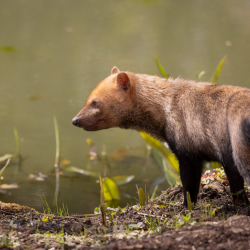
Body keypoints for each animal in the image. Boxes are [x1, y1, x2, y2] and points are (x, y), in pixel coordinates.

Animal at [72, 66, 250, 205]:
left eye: (95, 102)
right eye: (88, 99)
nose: (75, 120)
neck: (166, 108)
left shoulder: (187, 155)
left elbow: (189, 188)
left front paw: (185, 207)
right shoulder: (228, 160)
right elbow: (237, 189)